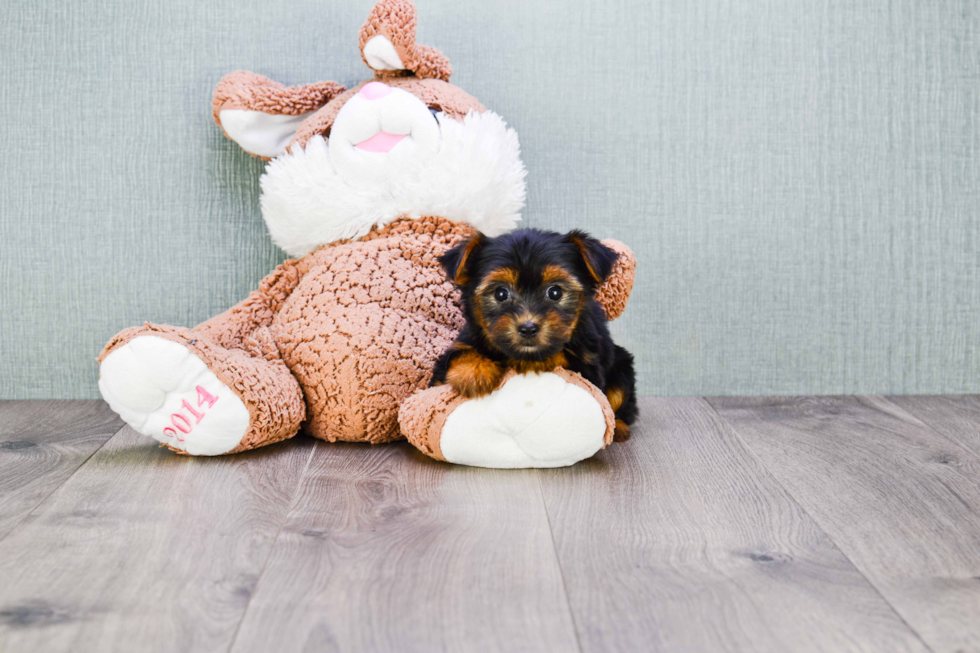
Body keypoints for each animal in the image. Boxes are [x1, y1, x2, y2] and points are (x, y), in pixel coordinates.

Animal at [432, 227, 640, 440]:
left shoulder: (588, 364)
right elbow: (458, 354)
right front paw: (473, 373)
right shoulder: (464, 341)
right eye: (500, 293)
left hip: (622, 367)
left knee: (619, 397)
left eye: (555, 292)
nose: (528, 328)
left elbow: (561, 358)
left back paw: (619, 428)